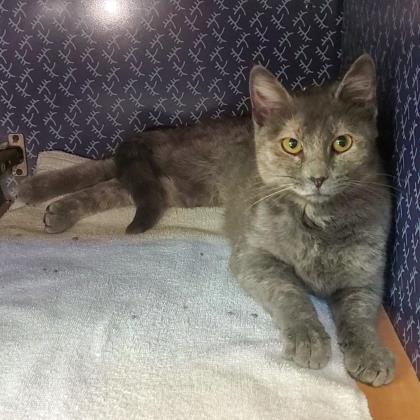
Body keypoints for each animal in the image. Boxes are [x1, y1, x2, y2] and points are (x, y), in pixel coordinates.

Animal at [18, 54, 395, 387]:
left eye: (342, 143)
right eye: (292, 145)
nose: (318, 178)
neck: (315, 219)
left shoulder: (366, 274)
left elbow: (360, 314)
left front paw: (371, 356)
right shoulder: (255, 257)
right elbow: (291, 294)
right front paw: (309, 340)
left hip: (174, 187)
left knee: (117, 181)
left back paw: (55, 207)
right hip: (183, 166)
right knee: (108, 162)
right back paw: (32, 189)